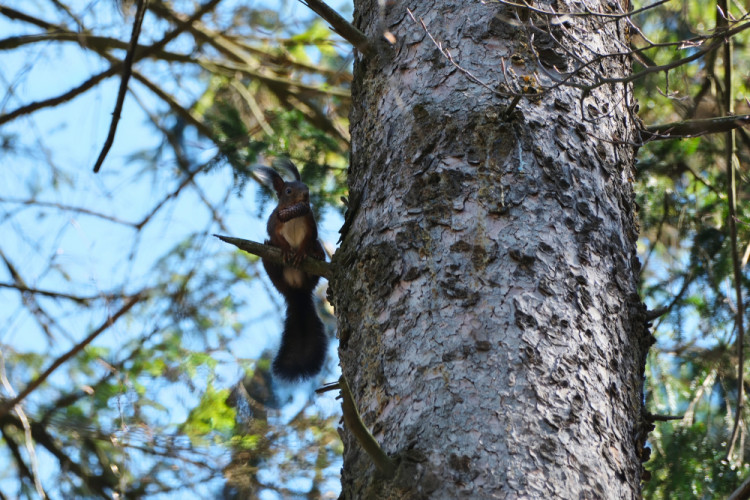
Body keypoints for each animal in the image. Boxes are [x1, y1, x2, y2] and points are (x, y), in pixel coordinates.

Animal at [258, 159, 328, 378]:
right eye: (288, 191)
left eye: (306, 186)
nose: (306, 195)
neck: (294, 216)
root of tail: (297, 292)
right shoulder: (274, 221)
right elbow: (275, 235)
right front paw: (288, 250)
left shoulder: (310, 222)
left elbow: (309, 238)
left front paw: (301, 252)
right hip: (273, 272)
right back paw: (275, 260)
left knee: (316, 248)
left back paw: (316, 256)